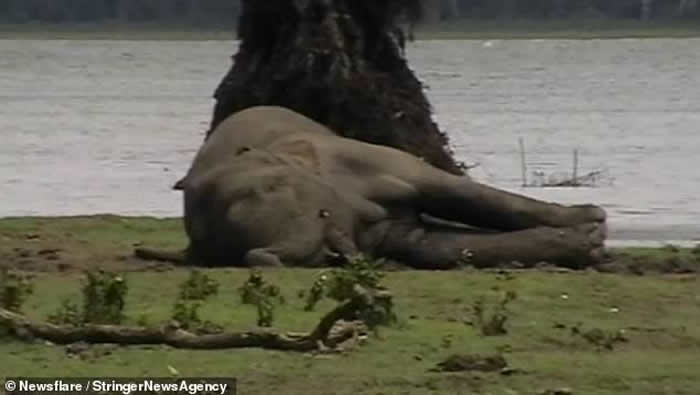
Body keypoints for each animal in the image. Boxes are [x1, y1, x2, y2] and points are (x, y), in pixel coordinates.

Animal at [156, 106, 604, 270]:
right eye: (225, 241)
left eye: (271, 185)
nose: (261, 256)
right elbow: (431, 246)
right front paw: (587, 240)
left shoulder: (358, 157)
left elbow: (456, 193)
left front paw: (591, 221)